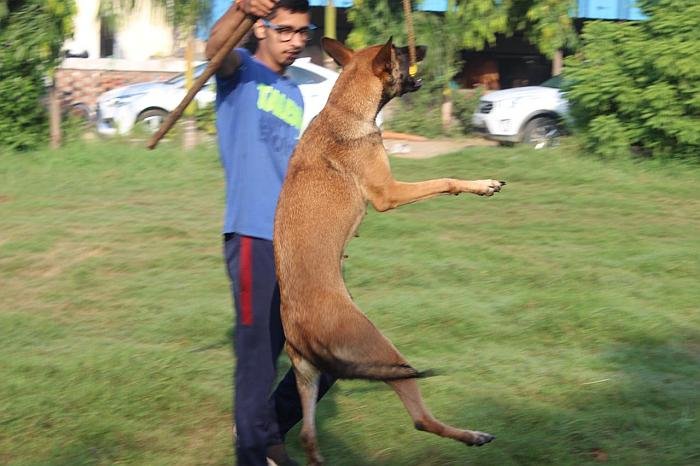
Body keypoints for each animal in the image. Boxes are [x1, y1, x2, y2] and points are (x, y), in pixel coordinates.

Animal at [272, 38, 504, 464]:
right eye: (400, 55)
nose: (423, 46)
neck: (344, 110)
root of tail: (299, 328)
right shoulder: (388, 194)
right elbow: (444, 180)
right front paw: (481, 184)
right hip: (385, 352)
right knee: (421, 419)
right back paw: (472, 435)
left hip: (307, 378)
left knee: (309, 436)